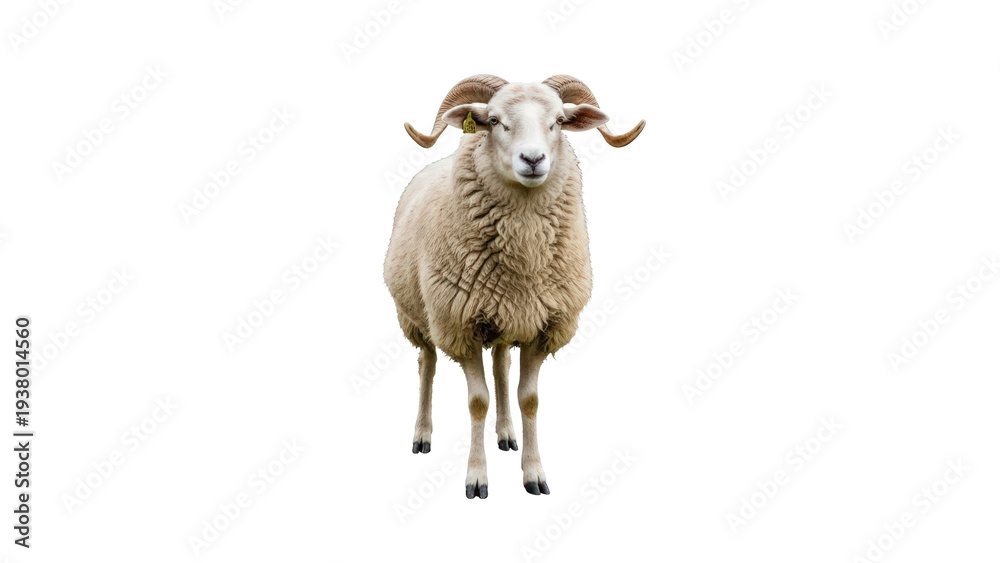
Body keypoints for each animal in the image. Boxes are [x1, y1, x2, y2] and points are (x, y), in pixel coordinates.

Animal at [383, 74, 644, 499]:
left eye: (558, 121)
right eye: (493, 120)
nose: (533, 160)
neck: (524, 255)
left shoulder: (543, 326)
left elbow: (530, 400)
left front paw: (534, 473)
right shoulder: (461, 327)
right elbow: (477, 401)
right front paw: (476, 478)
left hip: (506, 317)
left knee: (501, 365)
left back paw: (506, 433)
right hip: (417, 316)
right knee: (427, 365)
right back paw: (422, 435)